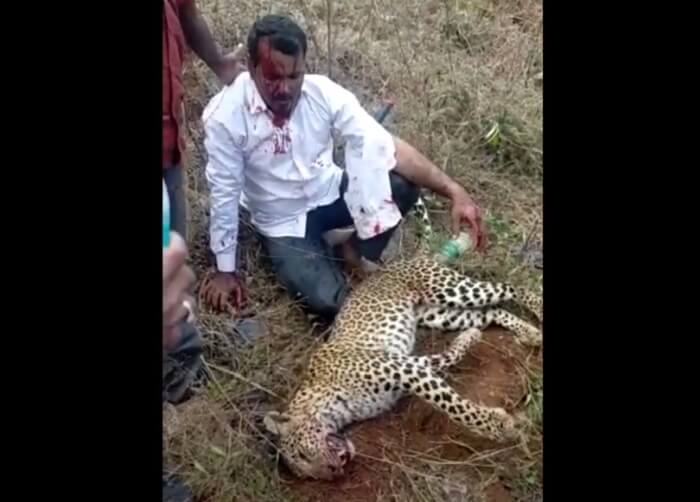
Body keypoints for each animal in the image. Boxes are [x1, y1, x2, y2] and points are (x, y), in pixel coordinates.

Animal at [262, 256, 540, 480]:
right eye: (309, 476)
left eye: (302, 454)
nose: (333, 472)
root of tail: (398, 261)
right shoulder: (413, 365)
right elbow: (449, 358)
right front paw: (468, 338)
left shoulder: (405, 370)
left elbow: (452, 405)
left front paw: (499, 426)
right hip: (440, 315)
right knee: (492, 311)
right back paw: (530, 333)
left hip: (452, 290)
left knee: (509, 288)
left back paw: (538, 308)